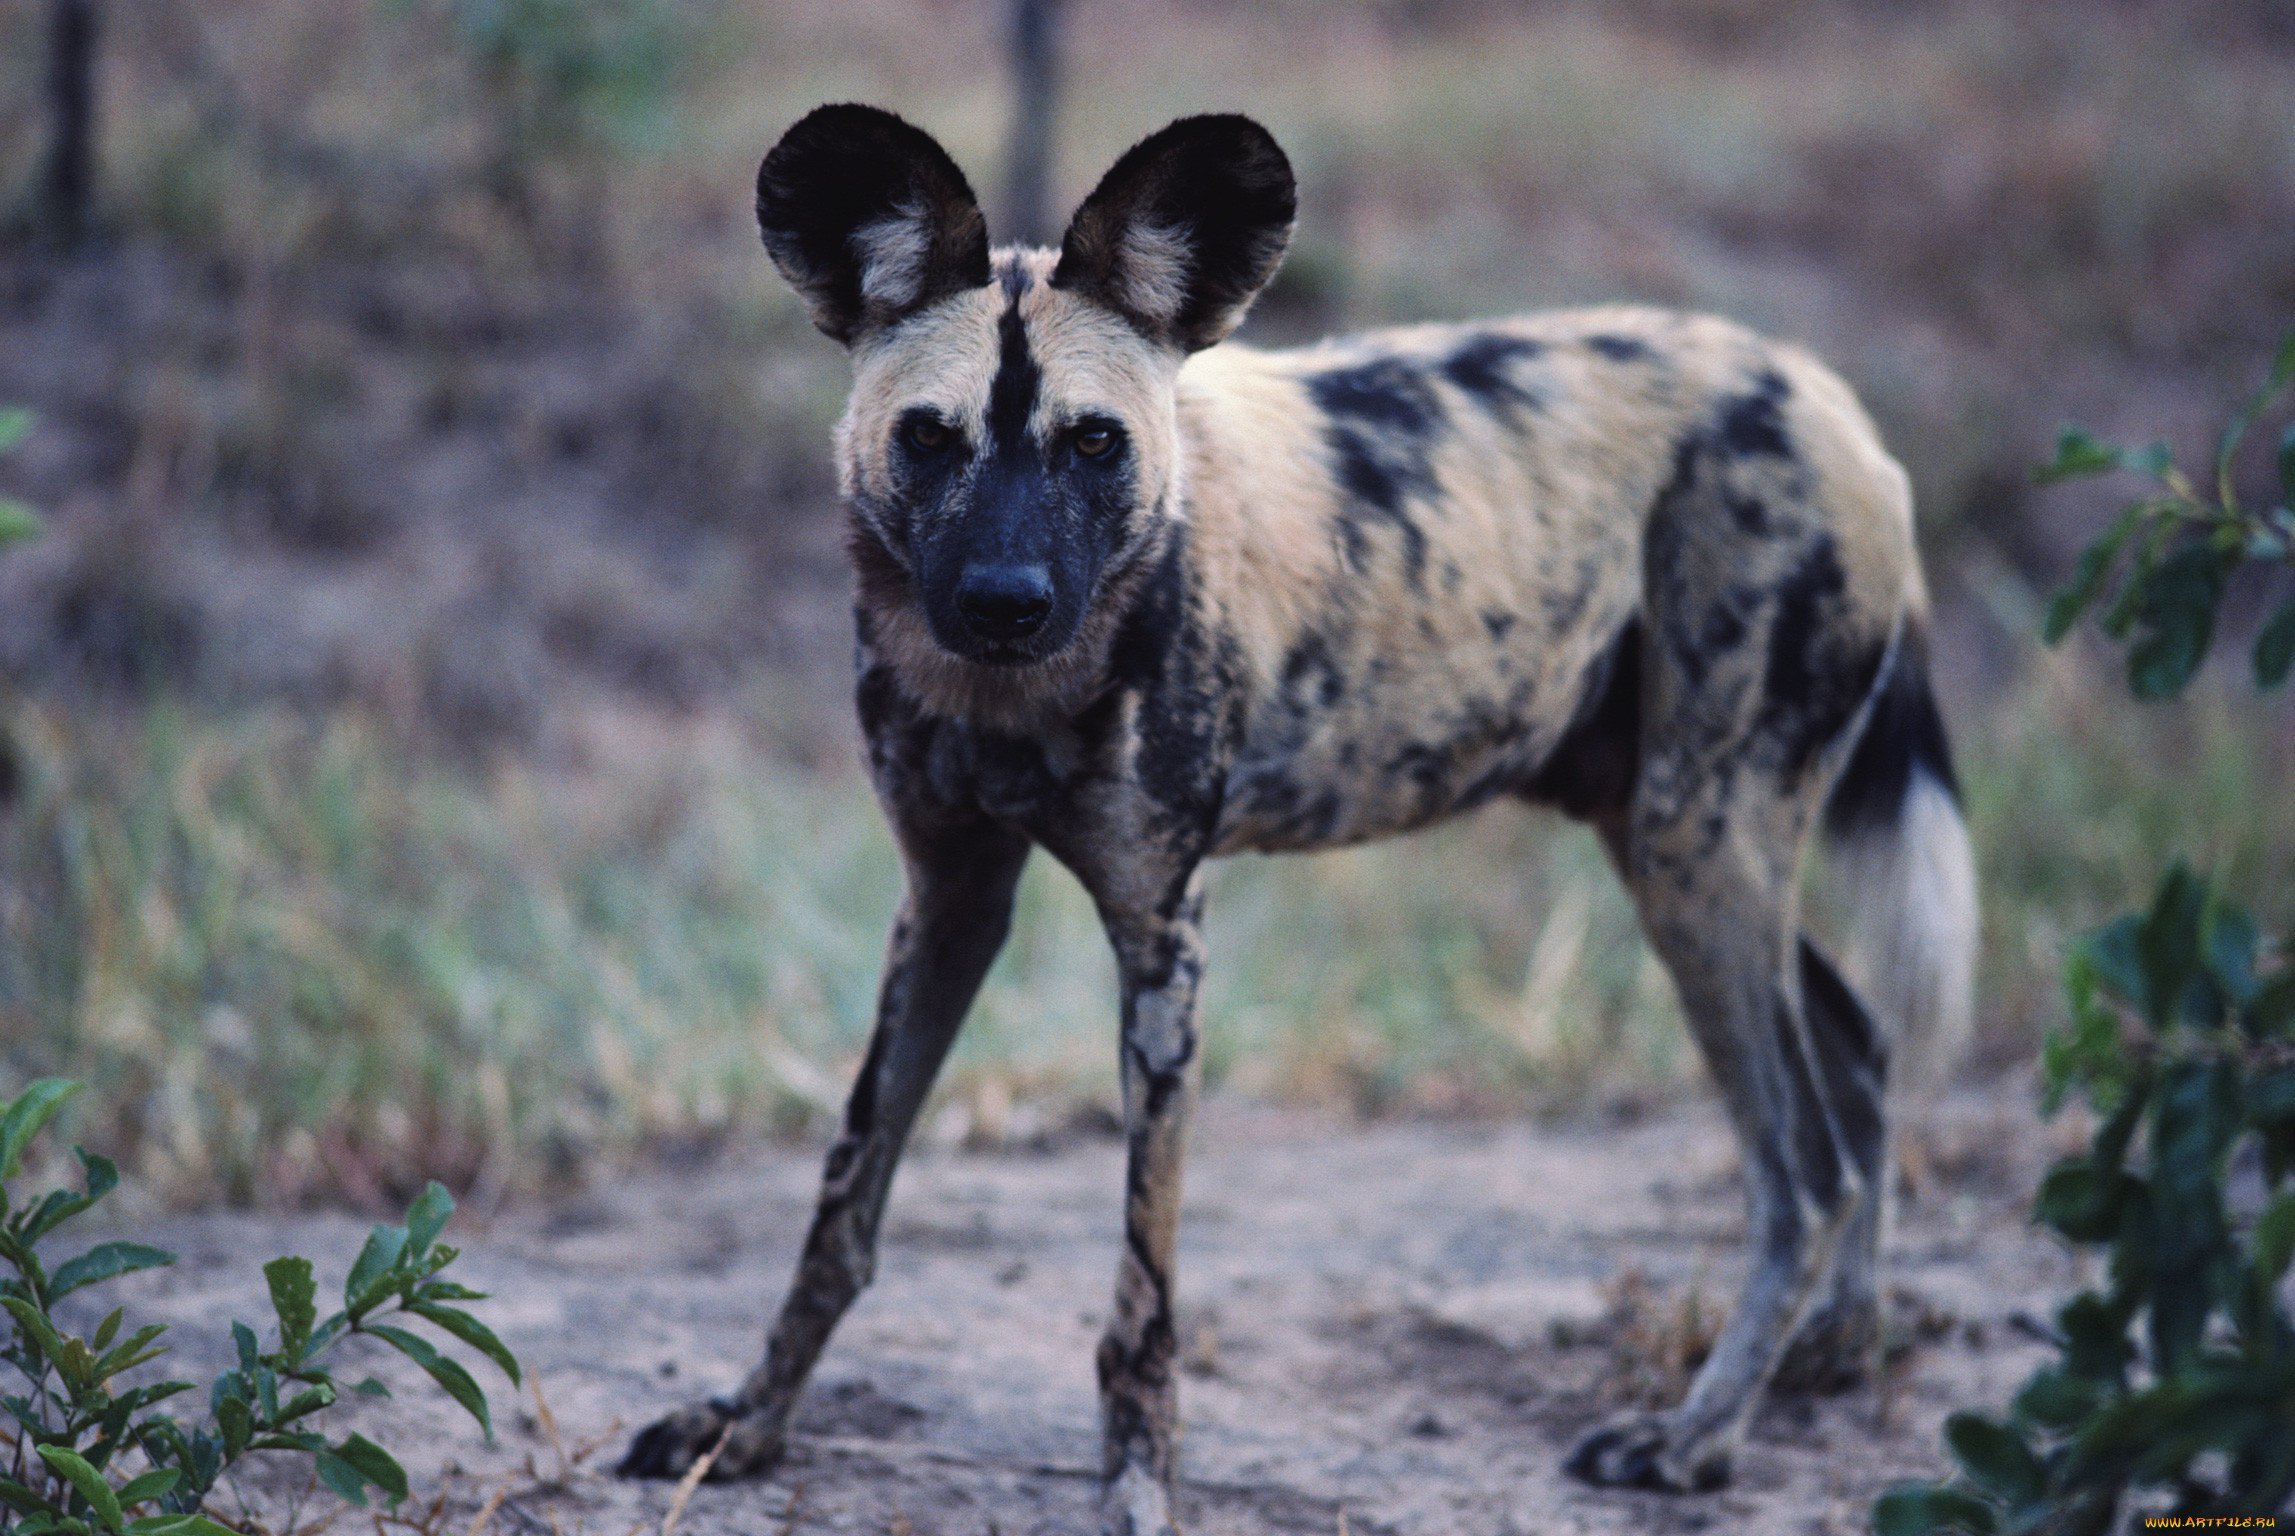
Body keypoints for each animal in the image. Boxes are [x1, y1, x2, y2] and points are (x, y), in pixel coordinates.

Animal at [618, 104, 1978, 1533]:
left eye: (1094, 443)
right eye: (930, 437)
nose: (1005, 600)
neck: (1005, 698)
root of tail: (1823, 396)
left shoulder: (1162, 940)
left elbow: (1141, 1303)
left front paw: (1137, 1492)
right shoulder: (949, 902)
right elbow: (843, 1204)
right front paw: (748, 1425)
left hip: (1698, 850)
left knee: (1802, 1171)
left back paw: (1699, 1439)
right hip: (1682, 840)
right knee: (1863, 1052)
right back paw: (1837, 1347)